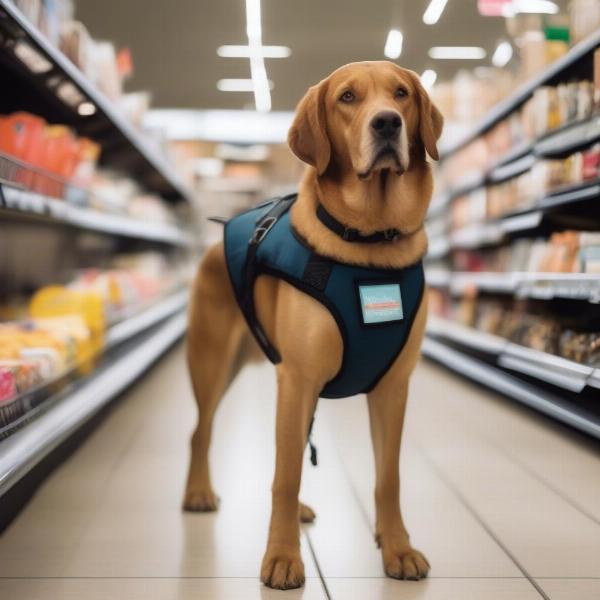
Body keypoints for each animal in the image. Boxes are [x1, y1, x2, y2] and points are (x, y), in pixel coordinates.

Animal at [185, 62, 442, 592]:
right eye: (347, 98)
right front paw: (283, 557)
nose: (387, 123)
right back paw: (199, 492)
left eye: (401, 94)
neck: (370, 244)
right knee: (202, 431)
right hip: (213, 362)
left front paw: (397, 547)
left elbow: (389, 477)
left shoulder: (392, 386)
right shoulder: (299, 378)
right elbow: (284, 476)